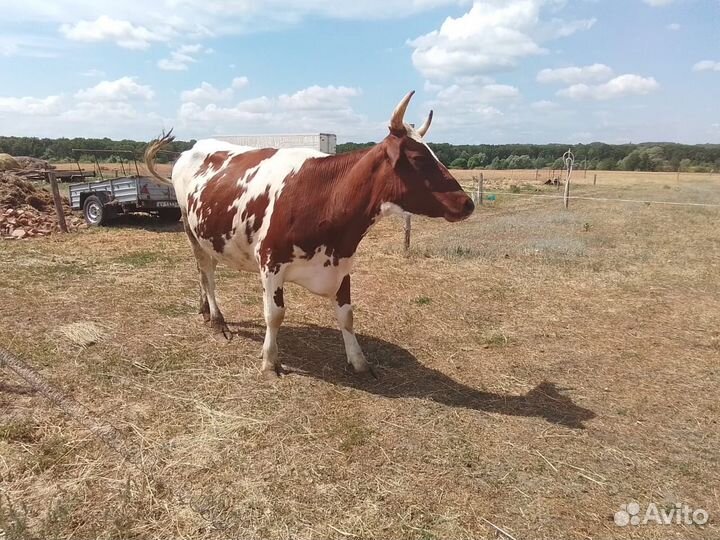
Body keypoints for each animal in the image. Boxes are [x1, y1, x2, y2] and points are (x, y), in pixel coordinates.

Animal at [144, 91, 475, 378]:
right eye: (418, 159)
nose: (467, 203)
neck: (327, 200)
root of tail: (191, 149)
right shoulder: (271, 264)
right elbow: (274, 314)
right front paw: (270, 361)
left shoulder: (342, 265)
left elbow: (347, 316)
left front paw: (359, 361)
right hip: (190, 228)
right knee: (207, 273)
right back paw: (216, 319)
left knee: (203, 272)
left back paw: (204, 311)